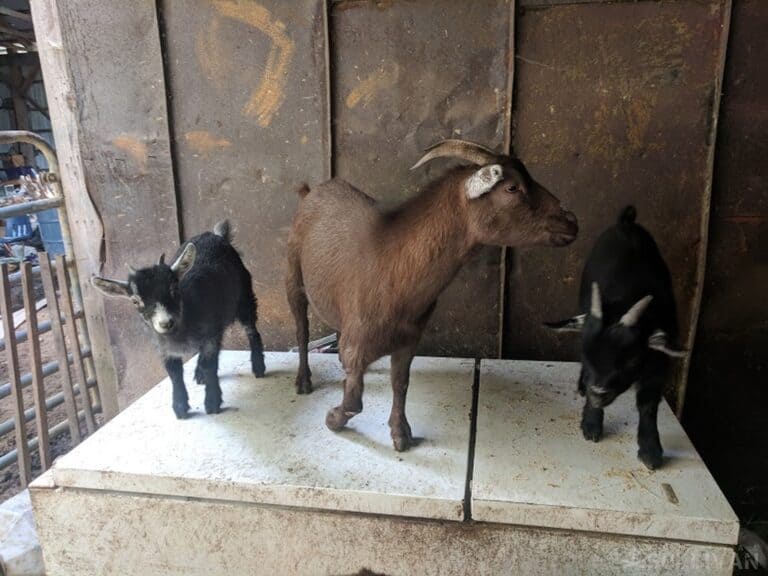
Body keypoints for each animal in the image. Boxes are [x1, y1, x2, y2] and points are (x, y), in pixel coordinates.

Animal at [286, 138, 576, 450]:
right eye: (512, 187)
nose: (570, 221)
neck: (392, 267)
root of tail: (311, 191)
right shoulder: (358, 340)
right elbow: (354, 401)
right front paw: (332, 419)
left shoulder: (409, 339)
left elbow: (400, 383)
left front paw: (401, 433)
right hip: (292, 274)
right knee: (301, 328)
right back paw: (303, 381)